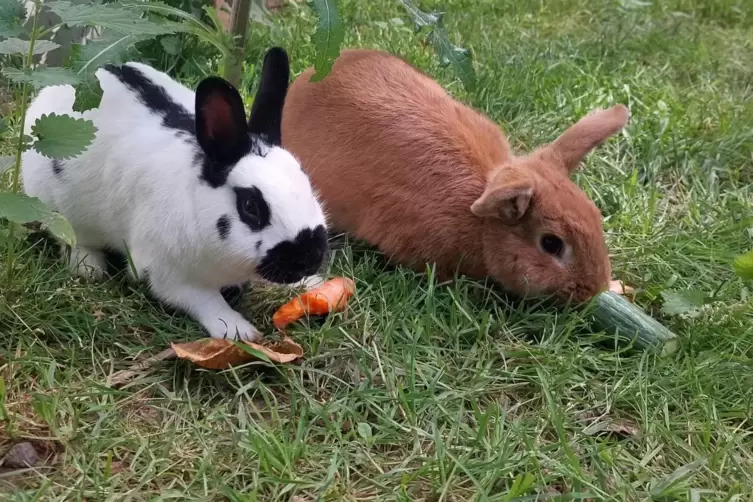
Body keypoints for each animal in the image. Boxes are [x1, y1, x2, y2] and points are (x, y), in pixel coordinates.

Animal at [21, 47, 329, 341]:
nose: (310, 255)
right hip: (54, 207)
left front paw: (314, 285)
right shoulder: (167, 274)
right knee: (70, 238)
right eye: (250, 206)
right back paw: (90, 267)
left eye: (305, 179)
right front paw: (238, 330)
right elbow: (206, 301)